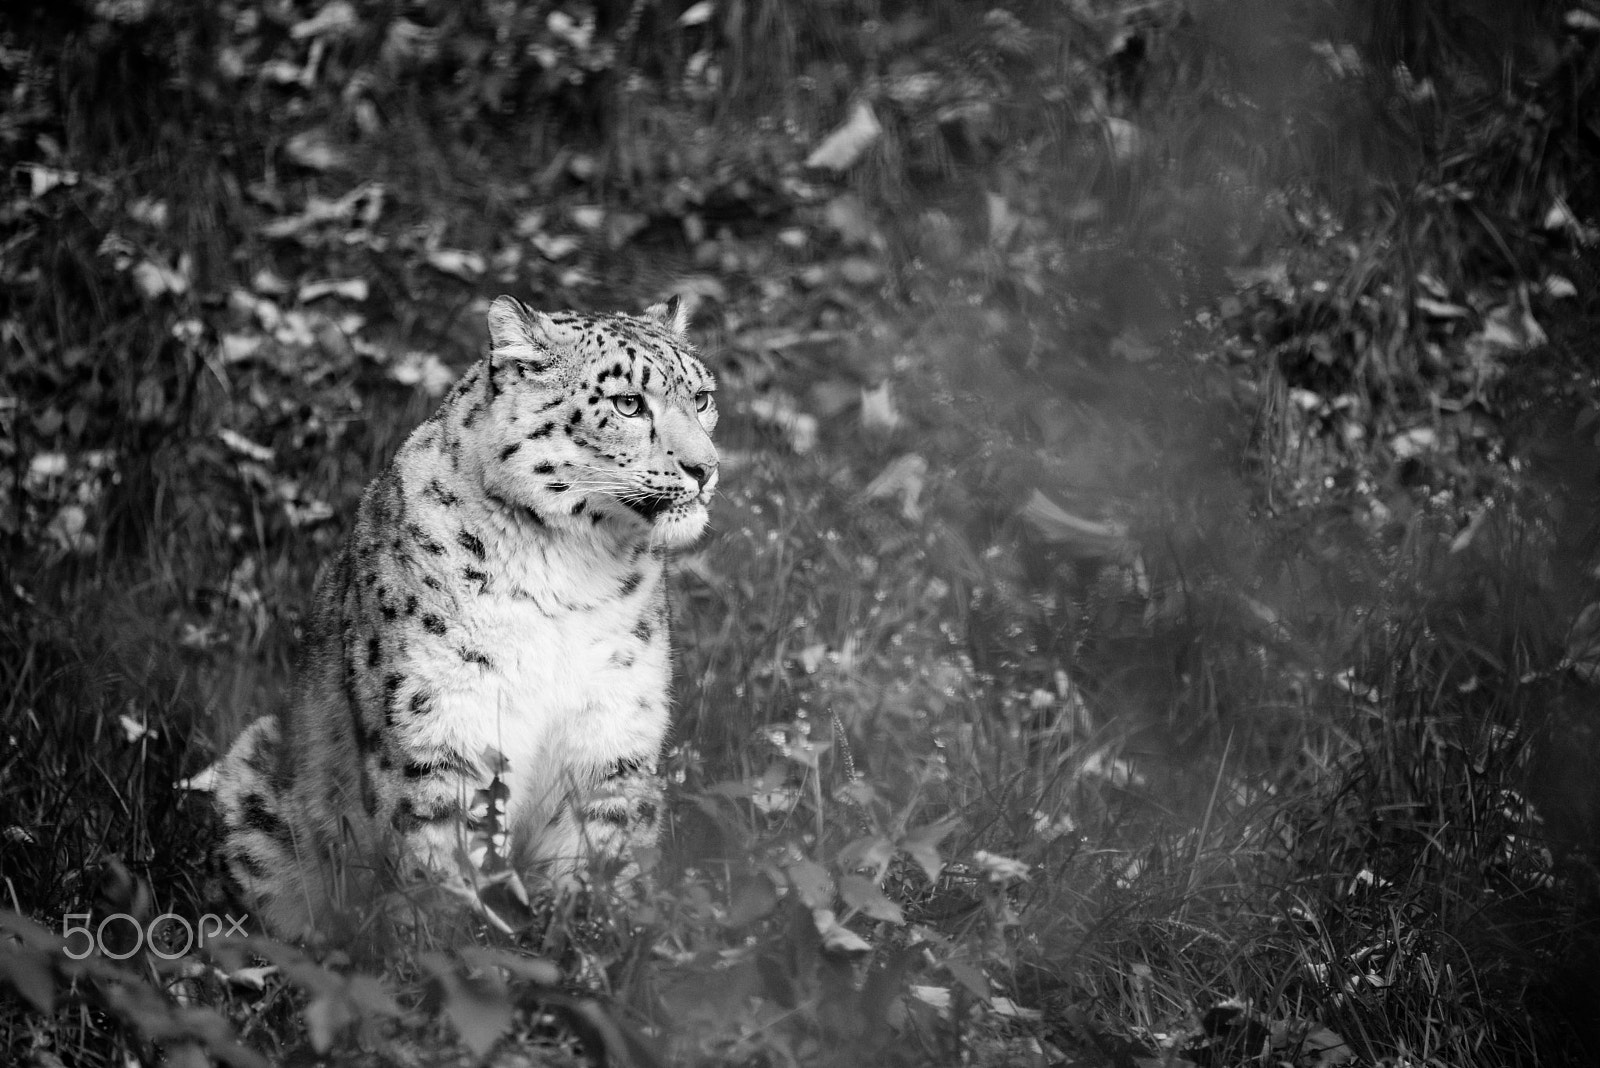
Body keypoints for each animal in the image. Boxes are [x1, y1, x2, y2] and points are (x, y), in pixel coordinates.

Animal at [211, 295, 718, 937]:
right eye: (628, 403)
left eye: (701, 397)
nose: (706, 468)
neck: (572, 579)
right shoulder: (441, 727)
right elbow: (442, 870)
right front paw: (459, 946)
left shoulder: (614, 729)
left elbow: (601, 865)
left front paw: (593, 938)